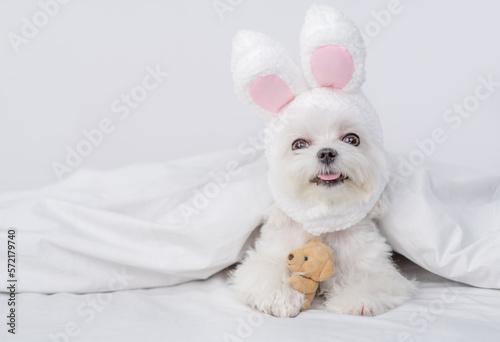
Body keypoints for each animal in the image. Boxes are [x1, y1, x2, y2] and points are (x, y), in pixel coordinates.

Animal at [229, 4, 416, 318]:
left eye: (352, 139)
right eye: (299, 144)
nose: (327, 152)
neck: (323, 223)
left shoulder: (379, 267)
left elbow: (374, 279)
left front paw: (356, 299)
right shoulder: (263, 258)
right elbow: (263, 272)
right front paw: (283, 298)